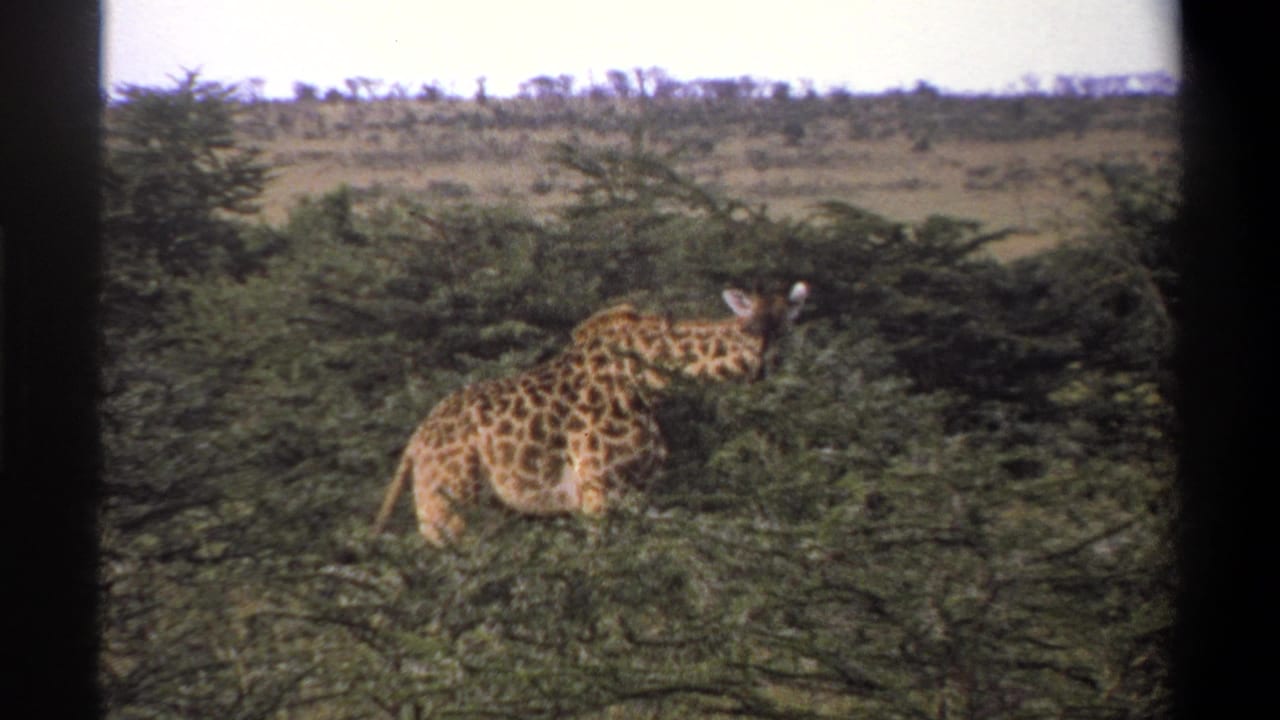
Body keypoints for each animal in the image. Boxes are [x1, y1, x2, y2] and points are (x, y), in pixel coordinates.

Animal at [372, 282, 809, 545]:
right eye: (747, 326)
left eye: (788, 327)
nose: (763, 367)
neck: (650, 379)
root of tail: (416, 443)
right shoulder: (599, 491)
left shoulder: (640, 491)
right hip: (448, 511)